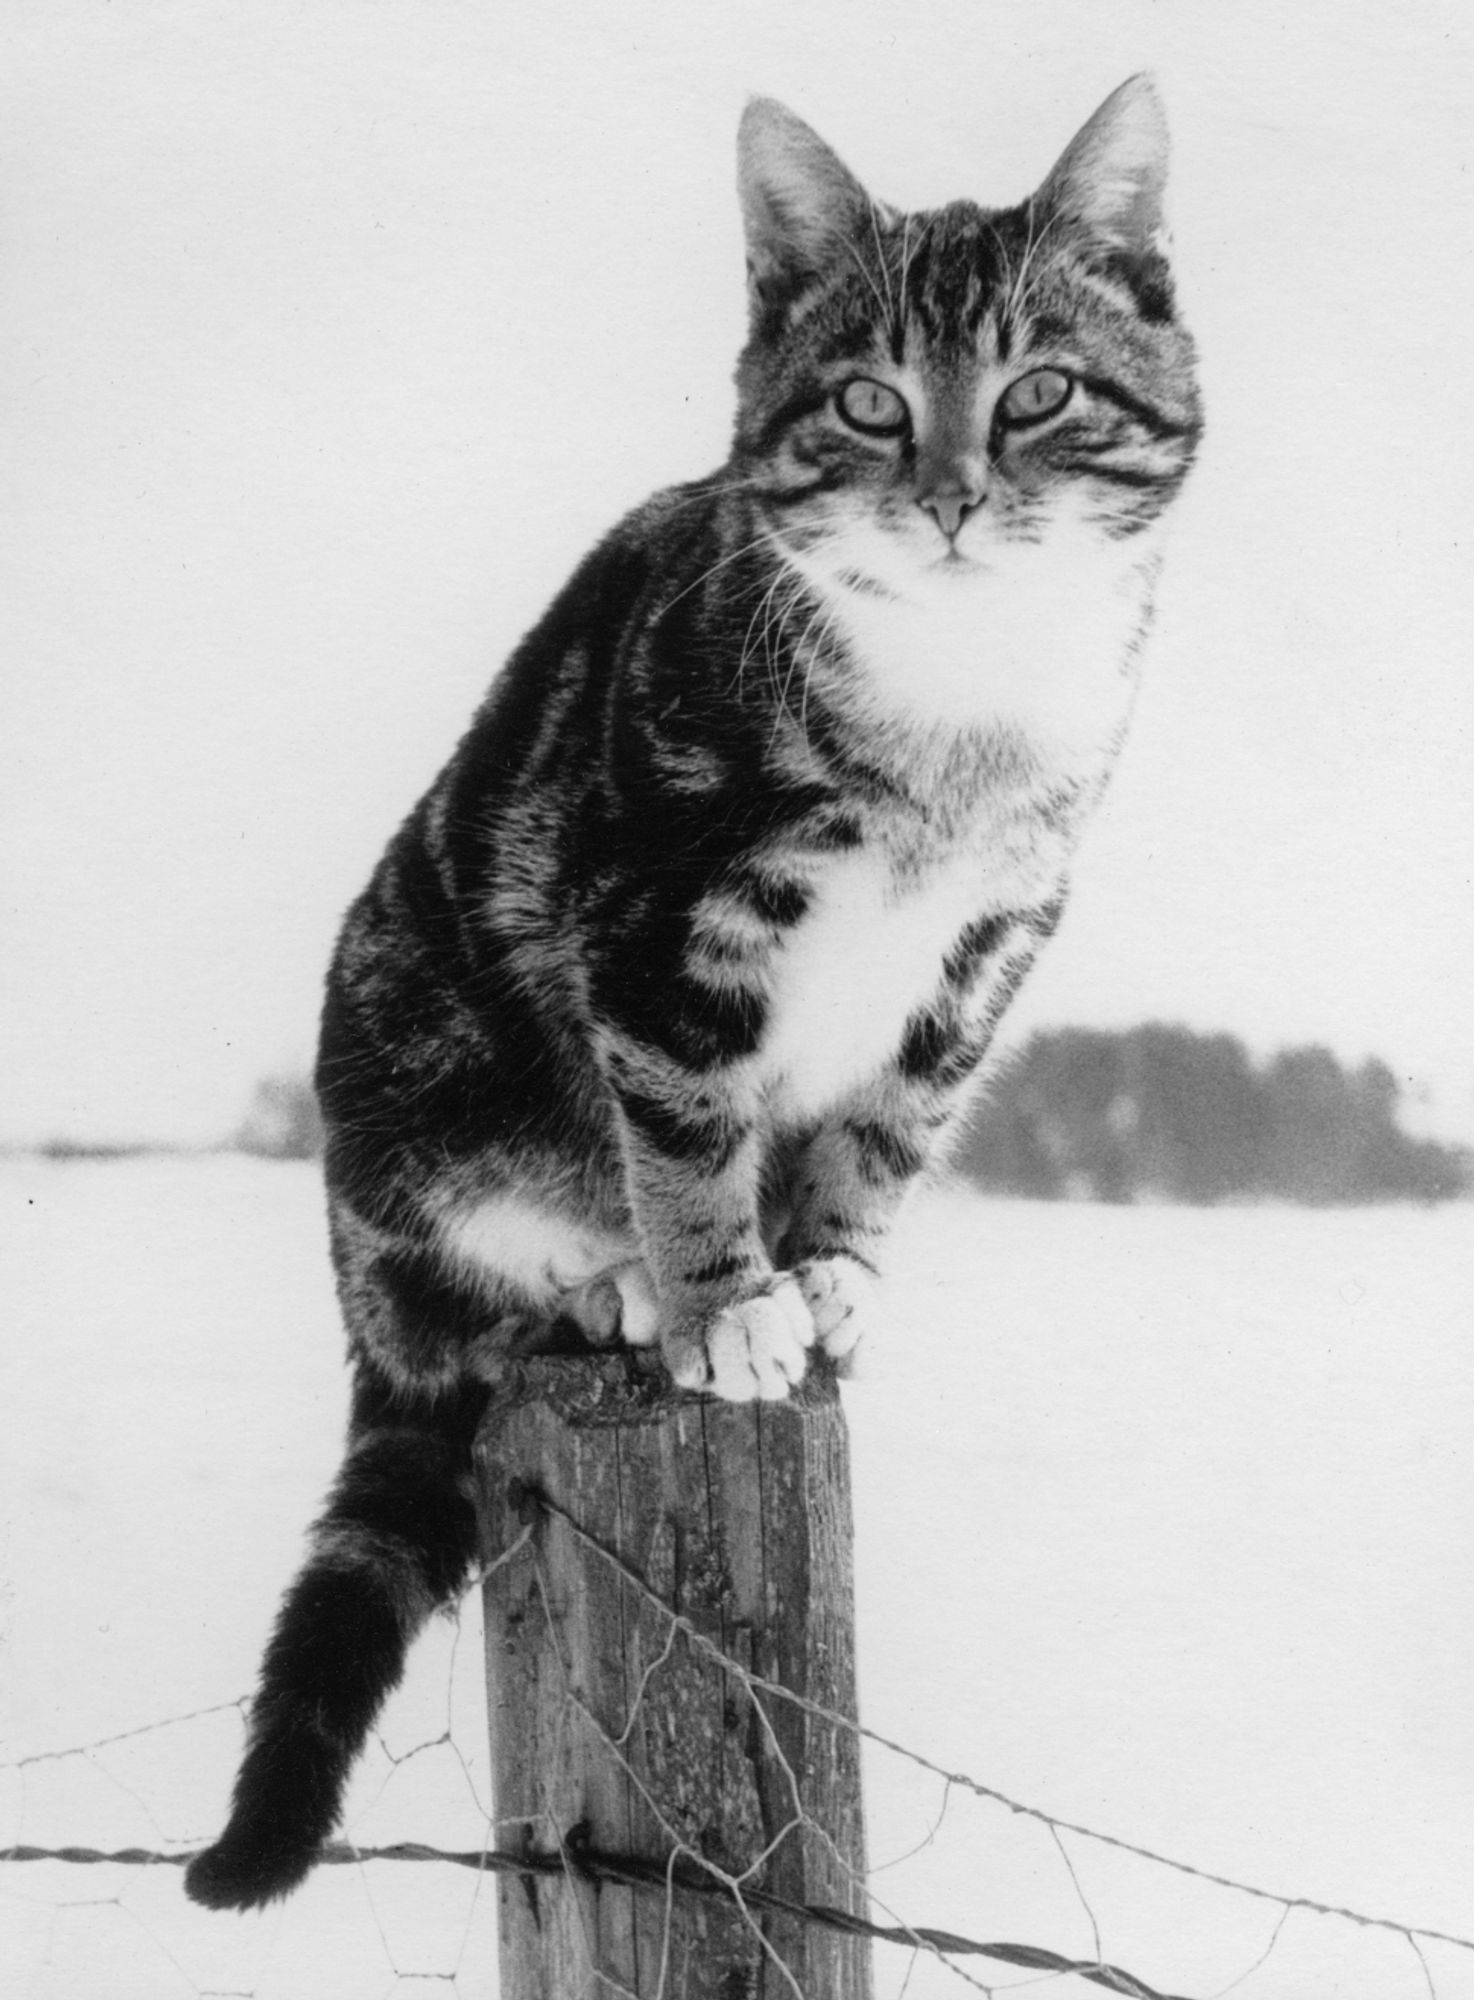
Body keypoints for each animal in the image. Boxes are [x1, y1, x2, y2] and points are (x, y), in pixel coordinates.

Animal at [184, 78, 1200, 1912]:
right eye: (867, 400)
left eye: (1038, 390)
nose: (949, 496)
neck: (956, 719)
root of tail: (361, 1287)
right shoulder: (653, 913)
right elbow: (679, 1119)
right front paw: (726, 1302)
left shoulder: (994, 935)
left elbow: (893, 1119)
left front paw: (834, 1270)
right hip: (419, 1069)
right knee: (499, 1261)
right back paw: (615, 1292)